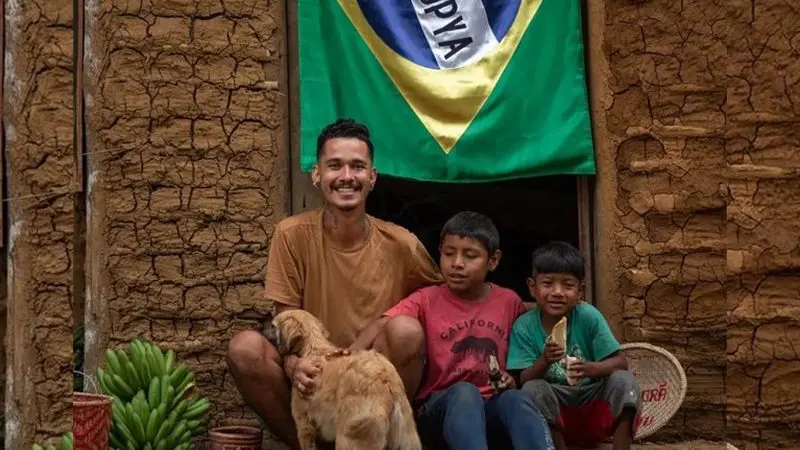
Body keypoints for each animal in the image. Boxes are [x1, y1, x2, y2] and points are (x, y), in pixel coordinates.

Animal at [270, 310, 422, 450]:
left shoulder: (304, 427)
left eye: (272, 326)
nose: (266, 328)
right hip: (406, 437)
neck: (314, 347)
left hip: (349, 438)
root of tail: (385, 379)